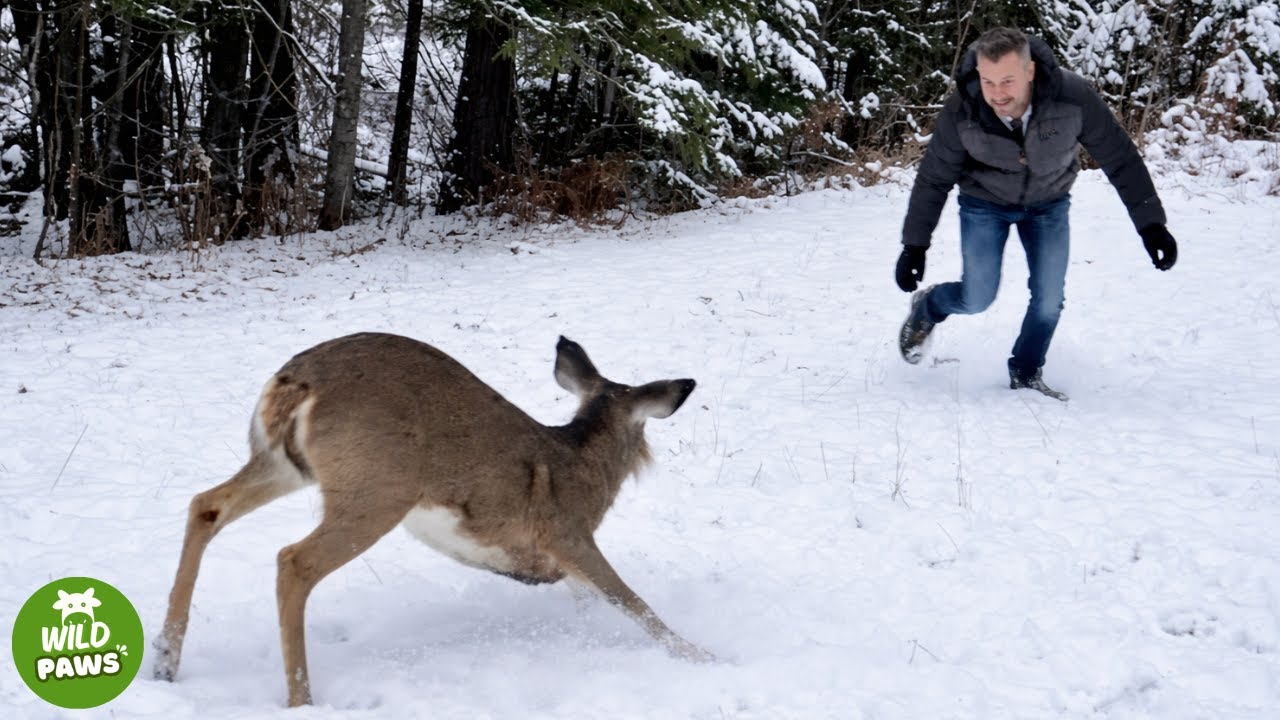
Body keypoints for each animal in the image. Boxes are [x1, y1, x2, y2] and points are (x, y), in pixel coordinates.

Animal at [153, 332, 709, 706]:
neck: (583, 465)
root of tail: (295, 383)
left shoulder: (559, 563)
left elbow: (597, 600)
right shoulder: (567, 534)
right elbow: (630, 600)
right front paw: (699, 655)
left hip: (287, 464)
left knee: (206, 505)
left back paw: (165, 662)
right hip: (377, 488)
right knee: (293, 560)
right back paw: (301, 700)